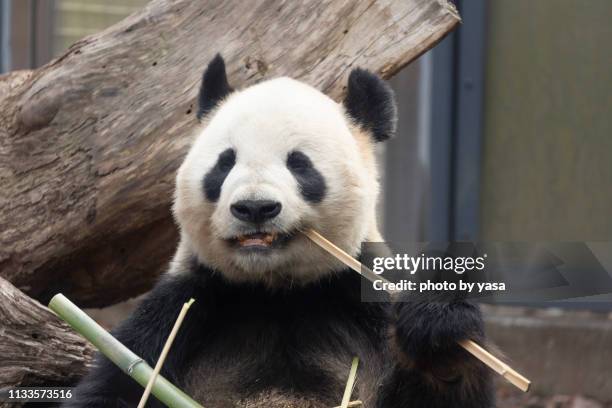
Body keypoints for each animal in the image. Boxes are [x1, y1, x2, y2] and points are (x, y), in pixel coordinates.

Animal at [67, 55, 494, 408]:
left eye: (300, 164)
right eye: (225, 163)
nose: (255, 207)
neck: (277, 291)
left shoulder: (362, 300)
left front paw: (438, 331)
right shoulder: (184, 308)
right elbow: (116, 387)